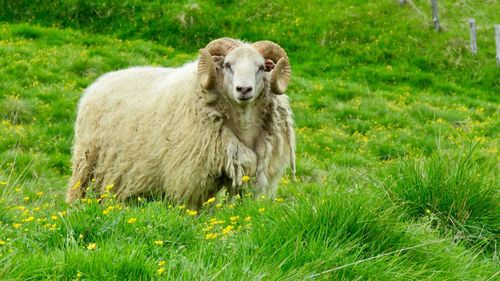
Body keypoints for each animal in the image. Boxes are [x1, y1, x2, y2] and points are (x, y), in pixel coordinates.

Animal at [64, 37, 294, 208]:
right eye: (227, 65)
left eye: (262, 67)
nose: (244, 89)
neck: (243, 124)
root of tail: (98, 82)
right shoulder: (190, 177)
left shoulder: (254, 176)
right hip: (86, 162)